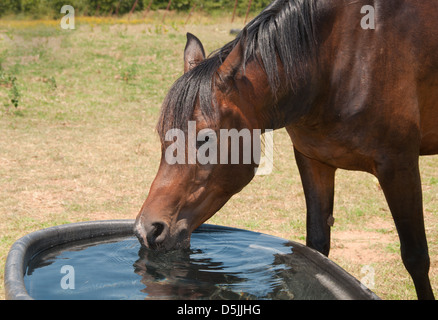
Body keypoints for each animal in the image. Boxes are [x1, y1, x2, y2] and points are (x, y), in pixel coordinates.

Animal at [135, 0, 436, 300]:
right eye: (162, 134)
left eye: (205, 138)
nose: (146, 230)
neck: (339, 65)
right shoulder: (313, 161)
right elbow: (316, 249)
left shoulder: (399, 166)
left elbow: (416, 257)